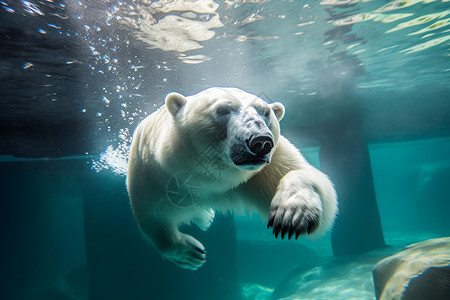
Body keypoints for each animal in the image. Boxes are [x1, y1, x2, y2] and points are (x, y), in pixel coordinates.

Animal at [126, 86, 338, 270]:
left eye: (266, 112)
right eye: (222, 110)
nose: (261, 141)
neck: (209, 177)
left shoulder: (263, 168)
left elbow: (309, 182)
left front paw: (292, 215)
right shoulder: (154, 172)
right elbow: (152, 213)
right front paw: (189, 254)